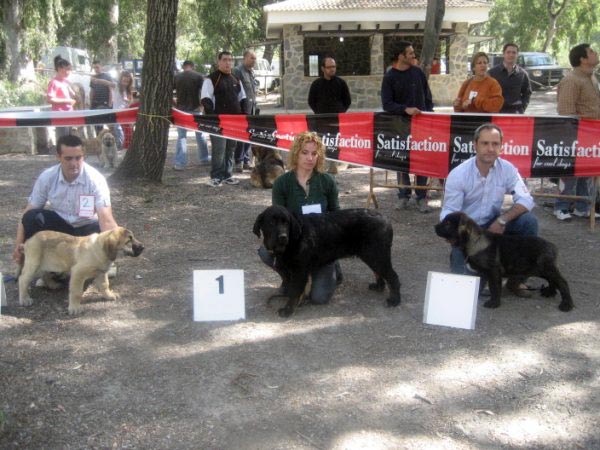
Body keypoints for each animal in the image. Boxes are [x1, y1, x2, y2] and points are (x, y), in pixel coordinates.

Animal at [253, 206, 404, 318]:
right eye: (271, 222)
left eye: (286, 223)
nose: (283, 237)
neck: (294, 239)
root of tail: (385, 219)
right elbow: (294, 290)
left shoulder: (299, 271)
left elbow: (294, 292)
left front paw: (288, 310)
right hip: (371, 255)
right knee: (379, 272)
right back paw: (379, 287)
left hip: (376, 254)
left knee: (393, 277)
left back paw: (394, 300)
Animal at [436, 212, 572, 312]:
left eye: (448, 224)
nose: (435, 227)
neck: (474, 241)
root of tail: (552, 246)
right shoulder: (482, 273)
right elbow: (481, 286)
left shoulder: (493, 271)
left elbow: (494, 288)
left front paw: (494, 303)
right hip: (540, 269)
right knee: (553, 280)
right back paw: (550, 292)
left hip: (545, 267)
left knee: (562, 282)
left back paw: (566, 304)